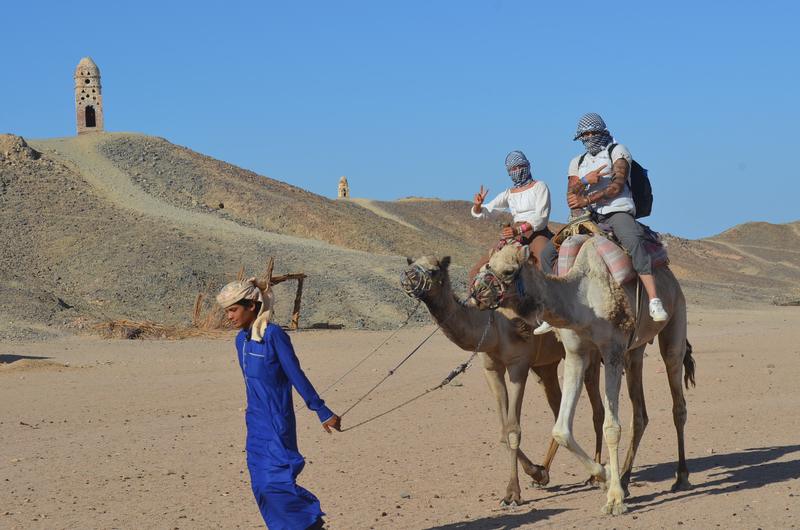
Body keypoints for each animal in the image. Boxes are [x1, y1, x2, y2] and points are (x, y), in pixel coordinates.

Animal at [400, 255, 605, 506]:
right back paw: (545, 471)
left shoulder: (518, 365)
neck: (494, 325)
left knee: (598, 409)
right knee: (558, 409)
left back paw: (596, 476)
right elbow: (502, 431)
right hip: (544, 366)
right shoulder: (491, 368)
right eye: (411, 264)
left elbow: (513, 429)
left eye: (433, 270)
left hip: (588, 351)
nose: (408, 277)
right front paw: (536, 472)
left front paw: (512, 493)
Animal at [476, 241, 695, 515]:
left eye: (508, 271)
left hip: (676, 317)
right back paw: (625, 479)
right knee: (640, 414)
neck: (582, 299)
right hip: (634, 351)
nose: (477, 293)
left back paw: (681, 477)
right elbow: (561, 430)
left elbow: (611, 427)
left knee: (678, 400)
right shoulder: (576, 353)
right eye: (487, 265)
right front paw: (606, 476)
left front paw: (614, 500)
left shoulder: (613, 349)